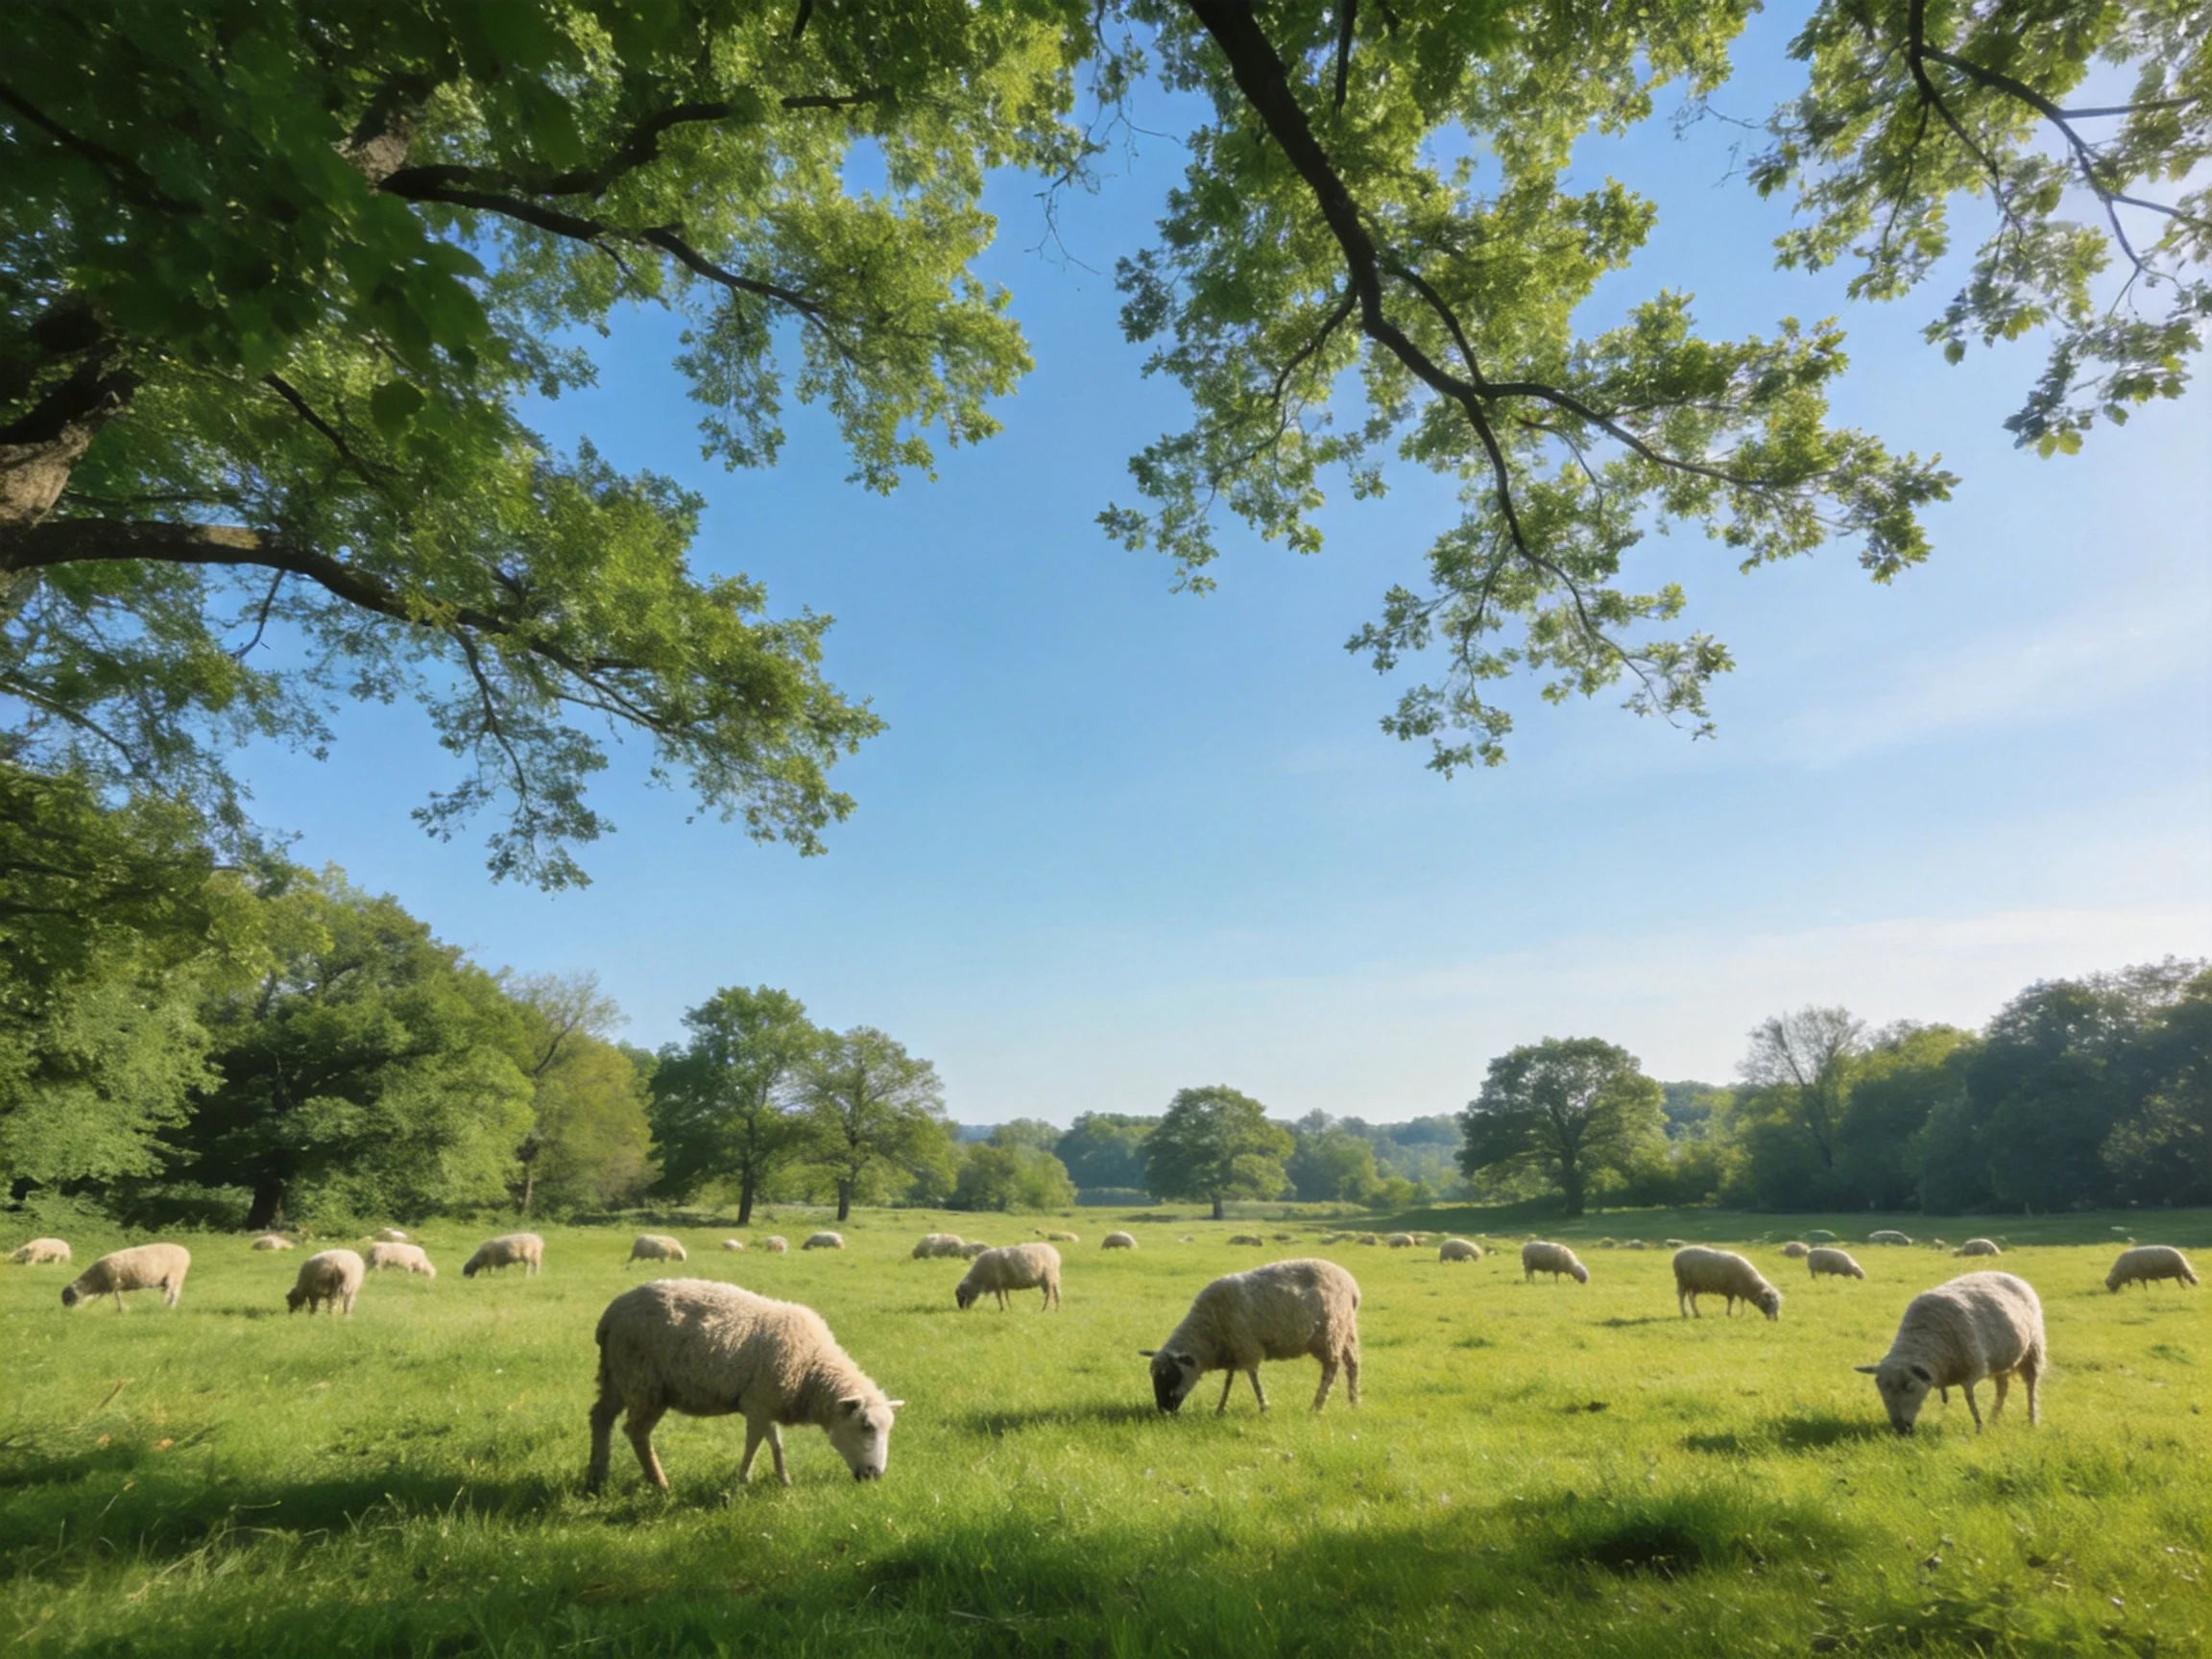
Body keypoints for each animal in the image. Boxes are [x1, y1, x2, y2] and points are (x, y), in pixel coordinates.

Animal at [61, 1243, 190, 1310]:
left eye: (69, 1298)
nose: (68, 1313)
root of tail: (186, 1252)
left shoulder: (115, 1282)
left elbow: (118, 1296)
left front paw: (121, 1309)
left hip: (175, 1275)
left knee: (173, 1293)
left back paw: (170, 1307)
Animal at [587, 1278, 903, 1492]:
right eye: (866, 1426)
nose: (875, 1475)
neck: (810, 1371)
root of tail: (611, 1314)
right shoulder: (757, 1404)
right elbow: (754, 1444)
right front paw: (742, 1482)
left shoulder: (768, 1401)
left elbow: (775, 1442)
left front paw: (784, 1480)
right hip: (644, 1382)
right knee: (637, 1432)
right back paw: (660, 1484)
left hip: (616, 1375)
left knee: (600, 1417)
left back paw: (597, 1473)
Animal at [1141, 1258, 1361, 1415]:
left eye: (1171, 1376)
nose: (1163, 1411)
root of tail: (1351, 1285)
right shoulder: (1233, 1350)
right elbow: (1228, 1380)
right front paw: (1220, 1408)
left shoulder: (1247, 1347)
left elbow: (1253, 1378)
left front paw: (1263, 1407)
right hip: (1347, 1328)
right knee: (1353, 1364)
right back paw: (1354, 1402)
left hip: (1330, 1333)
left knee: (1331, 1369)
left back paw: (1317, 1407)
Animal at [1857, 1271, 2046, 1434]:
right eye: (1880, 1388)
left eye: (1911, 1387)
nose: (1901, 1428)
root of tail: (2010, 1275)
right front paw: (1983, 1424)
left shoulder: (1973, 1369)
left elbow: (1970, 1399)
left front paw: (1979, 1427)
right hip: (2003, 1360)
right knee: (2002, 1389)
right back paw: (1993, 1419)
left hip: (2033, 1349)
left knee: (2031, 1385)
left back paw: (2032, 1420)